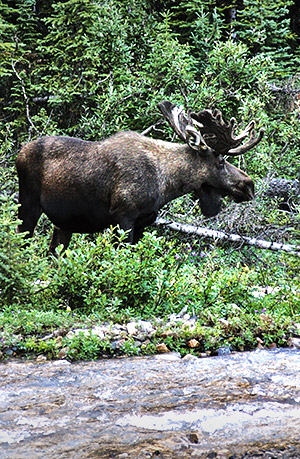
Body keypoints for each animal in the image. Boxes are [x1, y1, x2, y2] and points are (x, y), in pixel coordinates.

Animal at [16, 99, 264, 255]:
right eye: (221, 161)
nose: (249, 185)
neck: (165, 184)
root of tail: (19, 153)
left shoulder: (145, 221)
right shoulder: (123, 216)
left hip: (64, 222)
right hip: (28, 205)